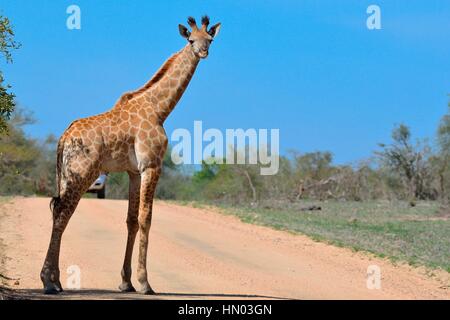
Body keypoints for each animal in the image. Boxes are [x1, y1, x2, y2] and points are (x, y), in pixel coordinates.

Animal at [40, 15, 221, 296]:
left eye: (210, 39)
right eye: (191, 40)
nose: (203, 52)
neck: (160, 109)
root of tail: (63, 138)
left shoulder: (134, 171)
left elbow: (131, 220)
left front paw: (126, 282)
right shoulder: (152, 165)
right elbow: (147, 219)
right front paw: (145, 283)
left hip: (66, 175)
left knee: (57, 210)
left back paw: (56, 281)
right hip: (81, 173)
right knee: (62, 212)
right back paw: (49, 282)